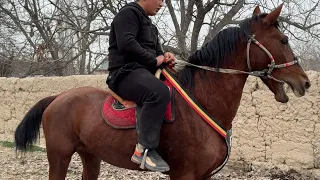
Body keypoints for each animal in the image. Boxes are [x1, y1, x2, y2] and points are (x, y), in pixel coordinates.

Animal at [14, 4, 310, 180]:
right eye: (283, 40)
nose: (304, 82)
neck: (203, 102)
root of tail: (58, 98)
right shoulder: (184, 175)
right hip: (59, 156)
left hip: (90, 155)